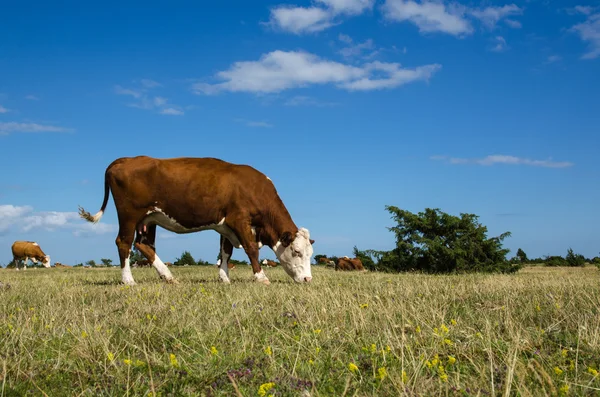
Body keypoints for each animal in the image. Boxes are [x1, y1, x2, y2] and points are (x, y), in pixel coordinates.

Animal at [77, 155, 316, 284]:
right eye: (296, 251)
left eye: (310, 254)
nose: (308, 279)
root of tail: (125, 159)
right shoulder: (239, 219)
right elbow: (251, 250)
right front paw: (261, 277)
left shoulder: (226, 225)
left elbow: (225, 253)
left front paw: (224, 278)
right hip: (129, 214)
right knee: (124, 243)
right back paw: (128, 280)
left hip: (148, 219)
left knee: (143, 245)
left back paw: (168, 277)